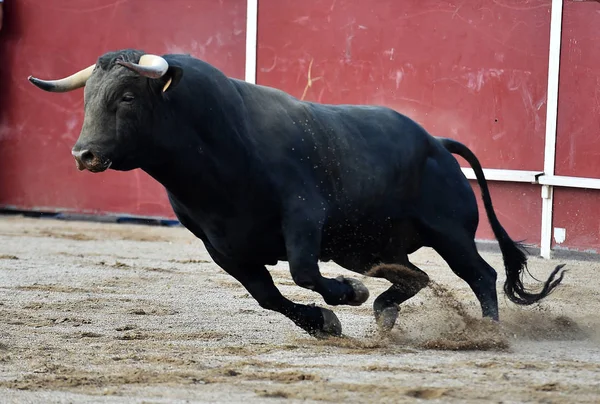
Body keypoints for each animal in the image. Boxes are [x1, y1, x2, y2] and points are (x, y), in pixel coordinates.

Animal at [27, 49, 564, 336]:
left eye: (127, 97)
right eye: (87, 97)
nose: (85, 154)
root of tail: (436, 142)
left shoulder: (303, 214)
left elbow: (303, 270)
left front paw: (347, 295)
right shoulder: (222, 245)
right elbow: (267, 295)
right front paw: (323, 322)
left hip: (449, 232)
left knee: (480, 274)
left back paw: (488, 332)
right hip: (363, 244)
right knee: (416, 276)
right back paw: (385, 314)